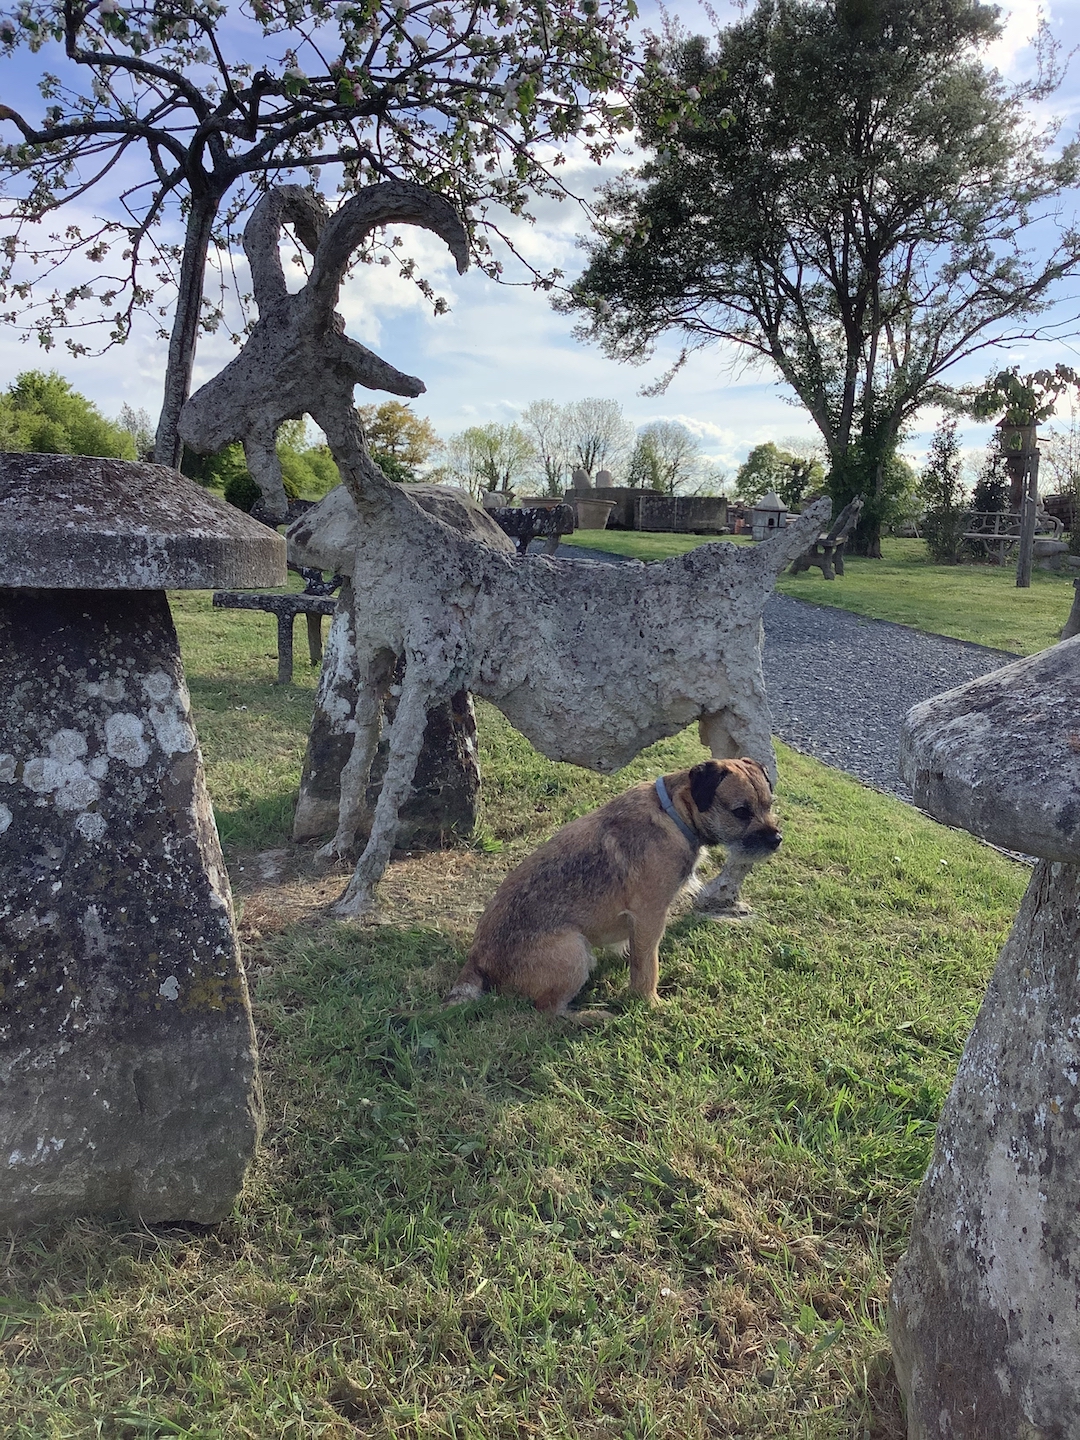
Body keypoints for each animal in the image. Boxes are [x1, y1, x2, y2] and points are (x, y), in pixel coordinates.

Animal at [449, 760, 789, 1019]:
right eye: (741, 811)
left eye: (769, 805)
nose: (777, 839)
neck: (673, 813)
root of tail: (476, 960)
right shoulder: (650, 914)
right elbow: (647, 964)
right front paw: (650, 1003)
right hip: (574, 949)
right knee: (546, 1011)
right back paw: (591, 1016)